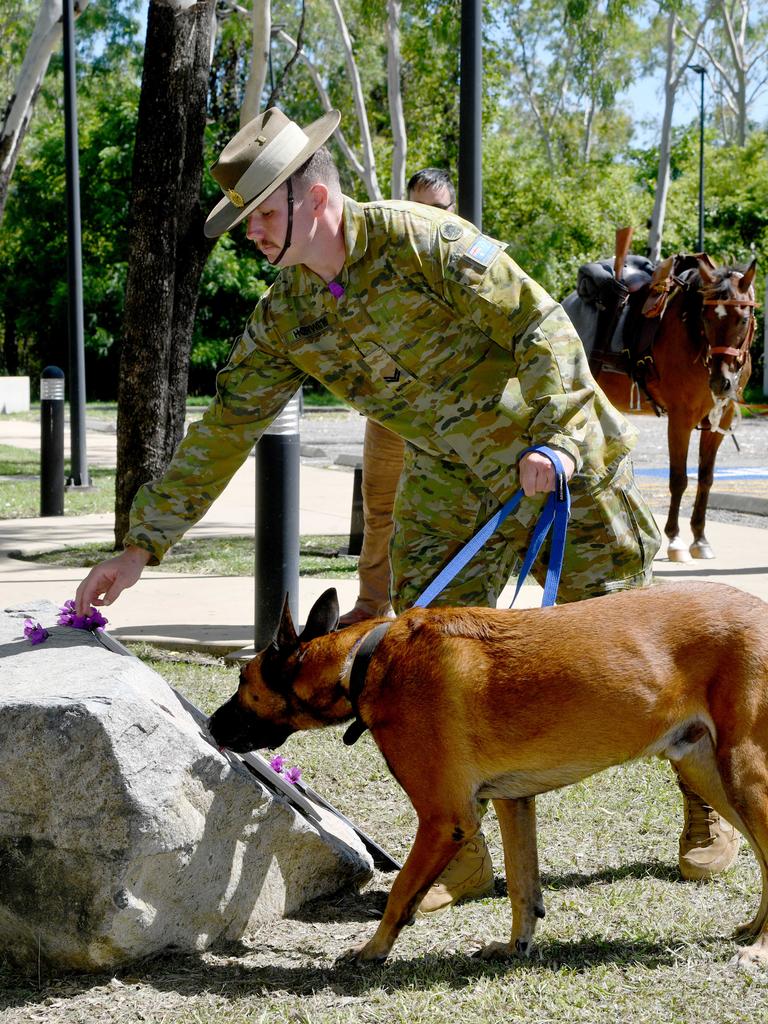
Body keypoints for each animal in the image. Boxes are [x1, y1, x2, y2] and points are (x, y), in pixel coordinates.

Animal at [207, 581, 768, 962]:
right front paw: (516, 947)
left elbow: (400, 894)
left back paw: (759, 949)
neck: (365, 661)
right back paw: (752, 931)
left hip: (743, 777)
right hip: (713, 777)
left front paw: (372, 951)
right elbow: (523, 888)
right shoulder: (512, 800)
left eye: (242, 680)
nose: (211, 724)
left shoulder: (444, 819)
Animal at [573, 253, 757, 561]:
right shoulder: (680, 419)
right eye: (706, 317)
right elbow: (679, 479)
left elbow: (706, 478)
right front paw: (675, 540)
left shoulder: (720, 422)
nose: (722, 383)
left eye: (743, 319)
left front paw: (700, 538)